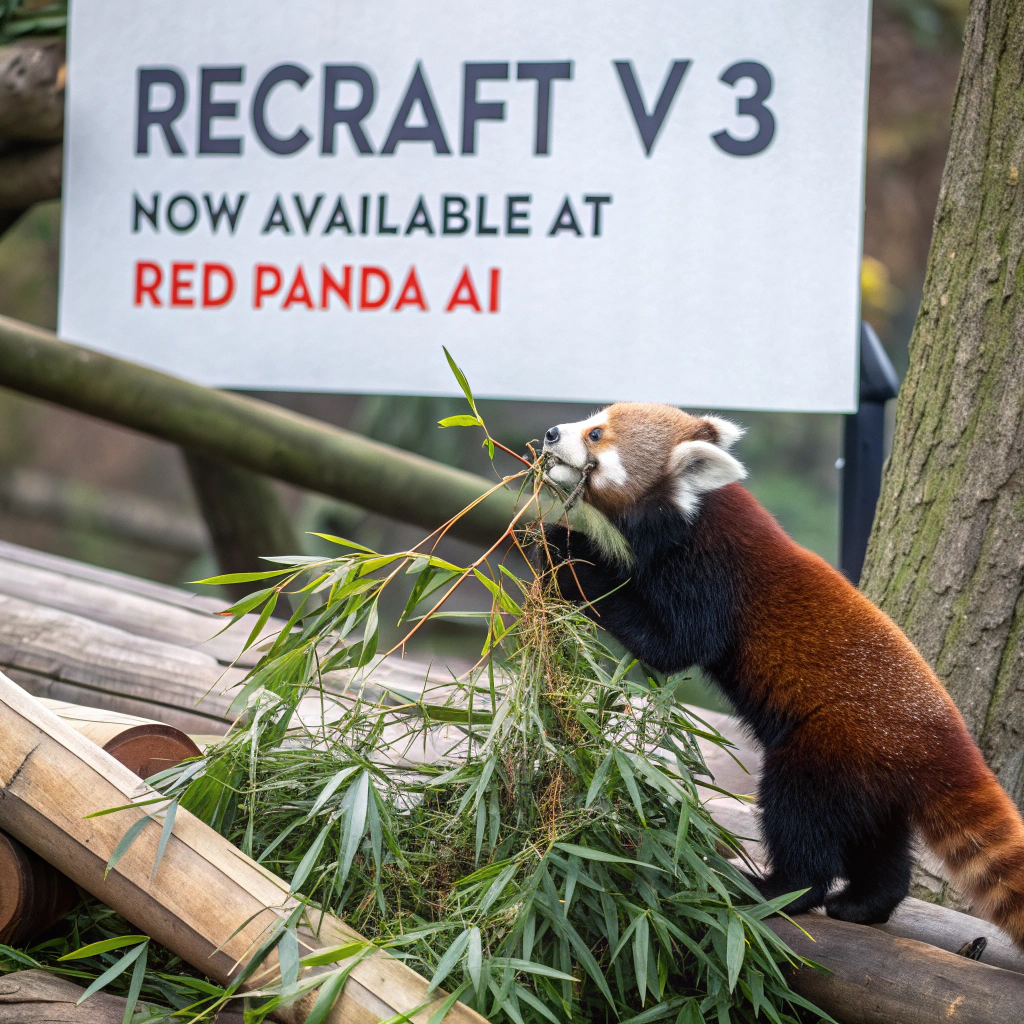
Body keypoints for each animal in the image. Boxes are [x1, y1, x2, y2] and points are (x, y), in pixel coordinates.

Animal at [539, 401, 1024, 942]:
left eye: (596, 434)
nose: (551, 432)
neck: (693, 514)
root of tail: (948, 739)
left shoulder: (710, 576)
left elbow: (671, 646)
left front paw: (567, 552)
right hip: (876, 776)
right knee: (882, 845)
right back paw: (865, 903)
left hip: (828, 747)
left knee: (799, 820)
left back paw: (776, 891)